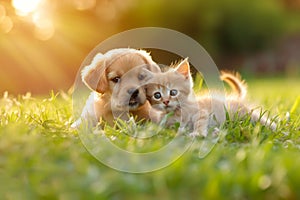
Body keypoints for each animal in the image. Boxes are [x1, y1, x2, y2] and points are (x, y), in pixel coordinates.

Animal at [144, 58, 276, 137]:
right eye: (157, 95)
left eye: (173, 92)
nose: (166, 101)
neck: (177, 112)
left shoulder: (201, 112)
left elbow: (200, 122)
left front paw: (197, 134)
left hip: (244, 113)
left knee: (261, 119)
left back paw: (274, 127)